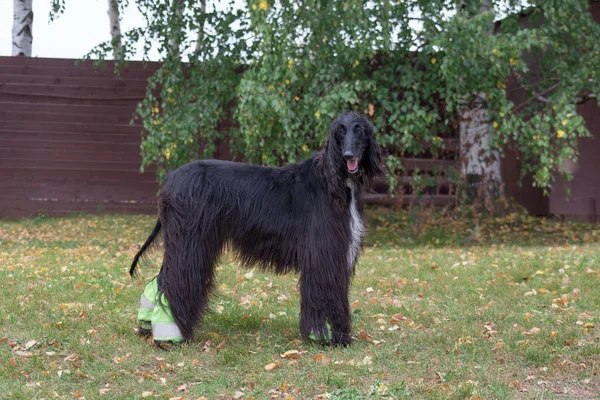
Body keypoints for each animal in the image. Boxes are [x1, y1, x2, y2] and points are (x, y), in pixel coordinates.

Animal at [131, 111, 384, 346]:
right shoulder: (322, 252)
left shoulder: (338, 254)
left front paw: (341, 337)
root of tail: (169, 181)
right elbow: (323, 293)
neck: (333, 181)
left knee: (162, 281)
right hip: (189, 241)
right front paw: (323, 337)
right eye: (340, 130)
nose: (348, 155)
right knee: (174, 283)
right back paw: (170, 336)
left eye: (359, 130)